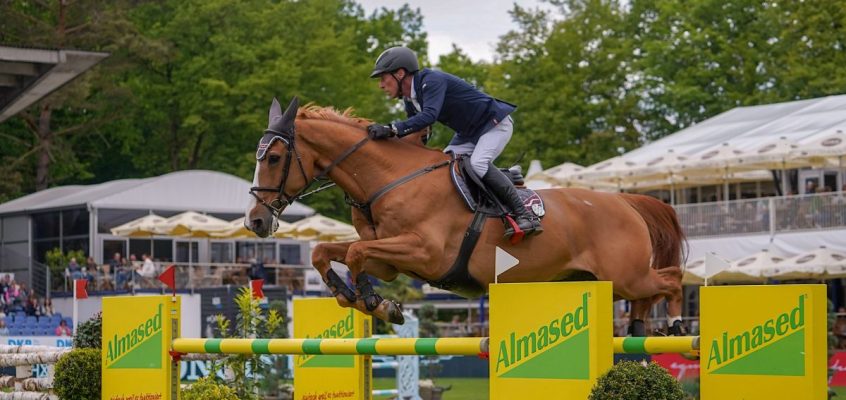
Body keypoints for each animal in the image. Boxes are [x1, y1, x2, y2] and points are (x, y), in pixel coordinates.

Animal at [245, 98, 688, 336]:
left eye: (275, 157)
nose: (255, 222)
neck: (389, 179)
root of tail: (627, 203)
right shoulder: (388, 258)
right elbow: (326, 251)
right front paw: (355, 297)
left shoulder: (423, 253)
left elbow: (353, 255)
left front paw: (374, 302)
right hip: (599, 281)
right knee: (647, 295)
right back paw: (641, 327)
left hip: (627, 274)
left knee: (670, 280)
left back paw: (676, 323)